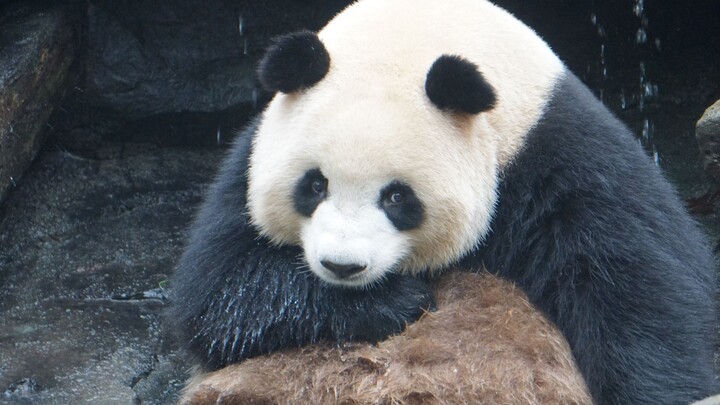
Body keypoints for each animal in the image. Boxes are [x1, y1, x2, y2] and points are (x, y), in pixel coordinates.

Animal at [166, 0, 716, 402]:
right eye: (314, 185)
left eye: (397, 197)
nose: (342, 267)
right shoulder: (251, 154)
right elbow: (219, 290)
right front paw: (394, 301)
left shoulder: (558, 153)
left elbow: (638, 288)